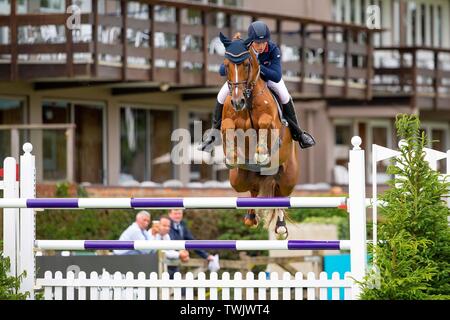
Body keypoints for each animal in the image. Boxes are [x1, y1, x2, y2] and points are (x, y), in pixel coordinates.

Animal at [218, 32, 298, 239]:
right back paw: (250, 217)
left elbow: (263, 123)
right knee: (252, 189)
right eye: (226, 64)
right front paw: (231, 156)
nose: (238, 102)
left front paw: (261, 153)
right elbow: (228, 126)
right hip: (238, 179)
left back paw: (281, 227)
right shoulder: (228, 121)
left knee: (280, 195)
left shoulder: (271, 124)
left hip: (288, 177)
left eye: (246, 64)